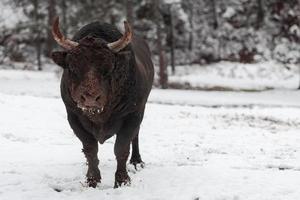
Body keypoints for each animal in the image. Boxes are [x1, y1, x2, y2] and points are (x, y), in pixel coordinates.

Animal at [50, 16, 154, 188]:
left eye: (109, 67)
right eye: (72, 67)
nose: (90, 98)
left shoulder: (132, 115)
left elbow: (121, 148)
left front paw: (122, 180)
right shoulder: (74, 117)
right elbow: (90, 148)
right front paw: (92, 180)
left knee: (136, 136)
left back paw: (136, 161)